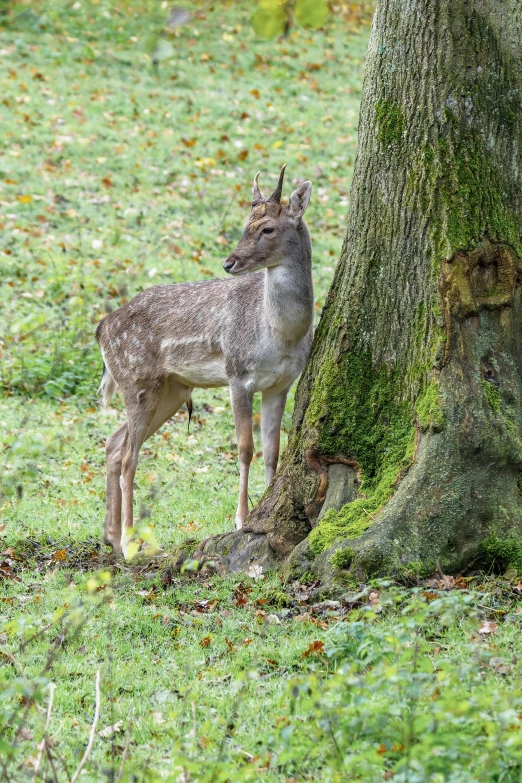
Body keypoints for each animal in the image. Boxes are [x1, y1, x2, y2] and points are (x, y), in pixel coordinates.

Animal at [95, 165, 310, 556]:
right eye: (245, 225)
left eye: (267, 228)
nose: (229, 262)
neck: (280, 334)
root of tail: (102, 328)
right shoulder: (238, 374)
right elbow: (245, 448)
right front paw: (242, 518)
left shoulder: (281, 384)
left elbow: (273, 451)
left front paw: (266, 503)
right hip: (136, 381)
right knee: (130, 456)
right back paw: (132, 544)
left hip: (170, 391)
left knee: (115, 444)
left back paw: (112, 537)